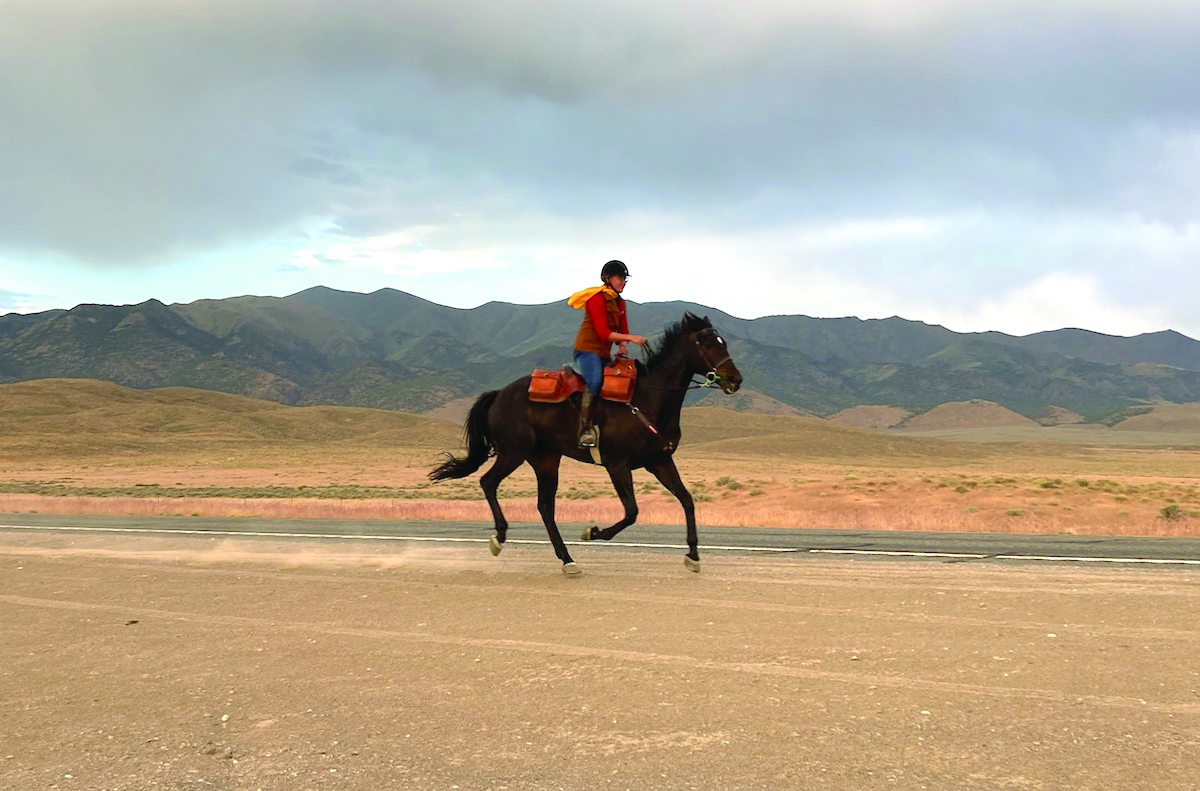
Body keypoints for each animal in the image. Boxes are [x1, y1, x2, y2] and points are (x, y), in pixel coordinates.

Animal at [427, 312, 744, 578]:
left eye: (724, 342)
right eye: (708, 343)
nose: (735, 379)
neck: (649, 400)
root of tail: (499, 394)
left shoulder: (660, 461)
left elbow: (687, 500)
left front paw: (693, 556)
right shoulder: (618, 465)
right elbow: (632, 512)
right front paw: (592, 532)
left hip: (545, 459)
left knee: (544, 506)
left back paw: (567, 560)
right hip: (513, 452)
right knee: (489, 482)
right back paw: (499, 538)